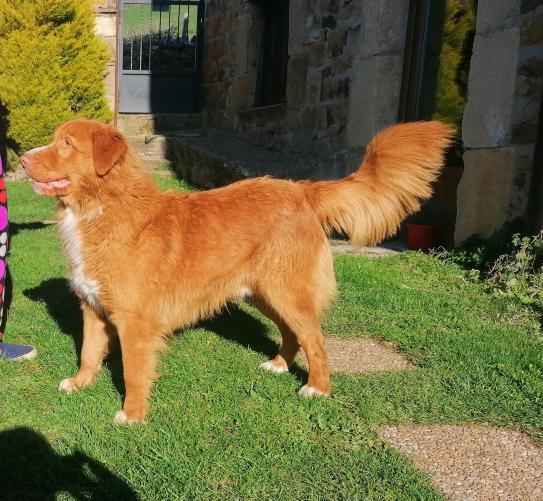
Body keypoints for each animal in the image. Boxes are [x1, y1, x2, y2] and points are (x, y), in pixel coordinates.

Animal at [21, 120, 452, 422]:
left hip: (285, 290)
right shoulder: (92, 308)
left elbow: (132, 373)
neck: (103, 207)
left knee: (315, 339)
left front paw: (133, 415)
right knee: (291, 334)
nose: (22, 159)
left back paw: (318, 388)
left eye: (66, 144)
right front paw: (80, 384)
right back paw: (279, 365)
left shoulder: (135, 322)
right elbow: (88, 353)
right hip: (262, 293)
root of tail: (302, 189)